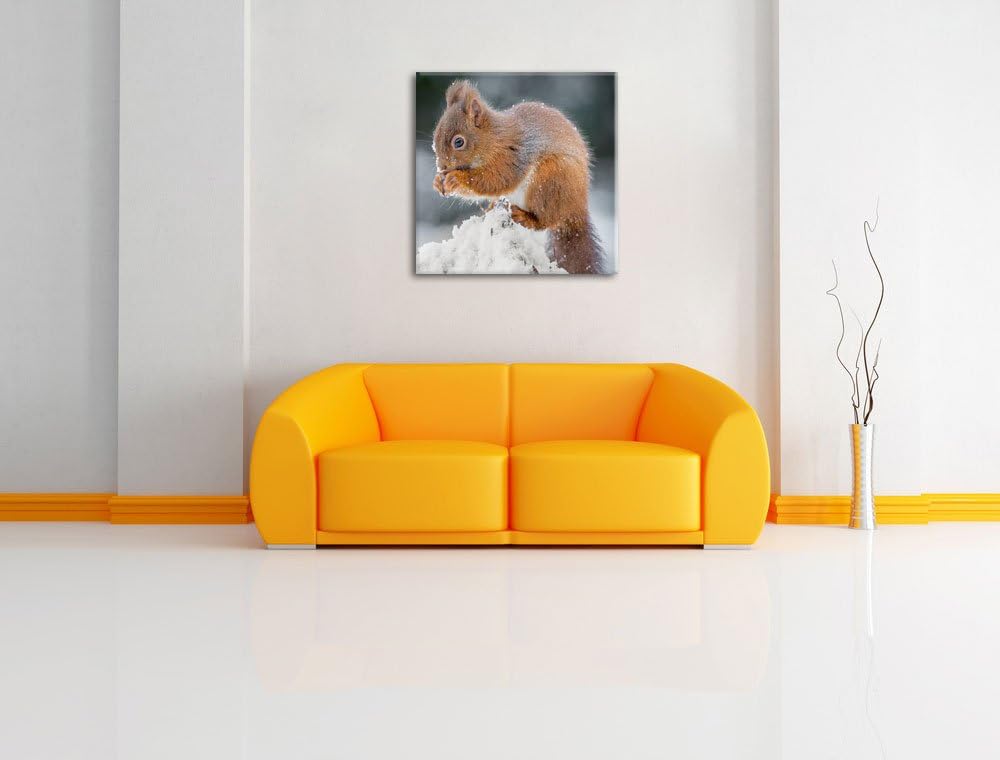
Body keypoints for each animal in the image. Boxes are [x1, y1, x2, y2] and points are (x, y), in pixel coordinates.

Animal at [431, 80, 606, 274]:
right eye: (435, 137)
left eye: (459, 142)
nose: (442, 167)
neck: (493, 138)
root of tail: (577, 208)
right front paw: (438, 181)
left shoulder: (512, 156)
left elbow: (496, 180)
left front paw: (455, 179)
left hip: (549, 181)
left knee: (546, 221)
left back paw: (526, 217)